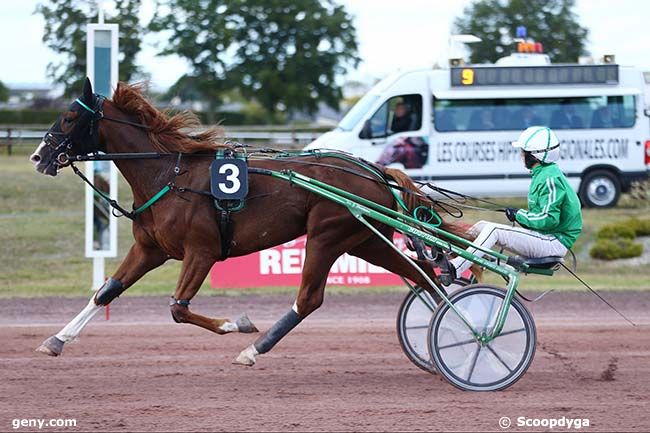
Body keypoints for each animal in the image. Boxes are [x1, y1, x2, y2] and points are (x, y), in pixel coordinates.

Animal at [30, 78, 466, 364]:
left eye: (68, 118)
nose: (37, 156)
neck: (169, 175)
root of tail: (373, 170)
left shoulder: (201, 251)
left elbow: (179, 308)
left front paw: (237, 324)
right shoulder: (151, 248)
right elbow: (106, 292)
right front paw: (57, 339)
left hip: (327, 235)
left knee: (310, 298)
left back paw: (254, 349)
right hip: (364, 240)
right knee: (424, 274)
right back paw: (454, 330)